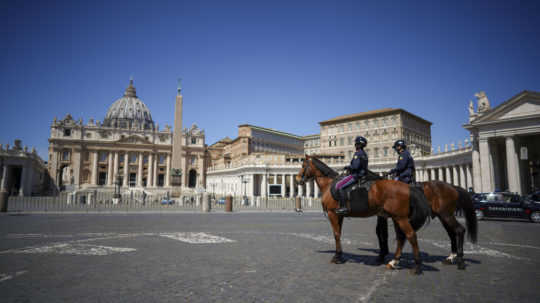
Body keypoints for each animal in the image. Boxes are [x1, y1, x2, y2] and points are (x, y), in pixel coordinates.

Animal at [298, 156, 432, 276]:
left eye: (303, 165)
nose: (298, 179)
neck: (329, 184)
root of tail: (408, 187)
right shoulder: (339, 215)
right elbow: (339, 234)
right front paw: (340, 256)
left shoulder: (332, 214)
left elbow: (336, 235)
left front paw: (336, 257)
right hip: (396, 217)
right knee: (401, 237)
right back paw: (393, 262)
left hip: (400, 218)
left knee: (411, 236)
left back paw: (416, 267)